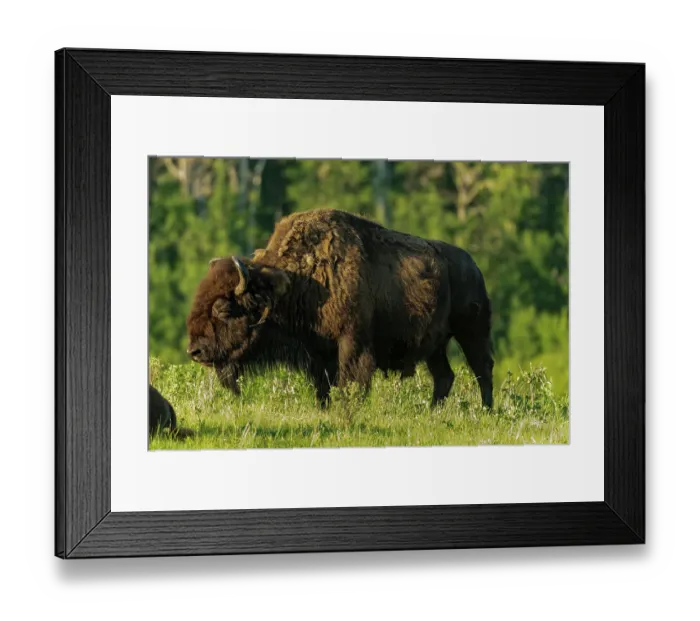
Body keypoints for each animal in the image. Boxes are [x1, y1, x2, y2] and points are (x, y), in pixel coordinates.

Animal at [186, 209, 494, 408]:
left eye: (224, 309)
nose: (195, 351)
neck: (294, 283)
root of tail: (474, 266)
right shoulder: (317, 354)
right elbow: (323, 387)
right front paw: (325, 409)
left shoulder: (351, 343)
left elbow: (351, 381)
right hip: (435, 345)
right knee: (445, 376)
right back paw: (433, 412)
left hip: (472, 332)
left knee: (482, 368)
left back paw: (486, 411)